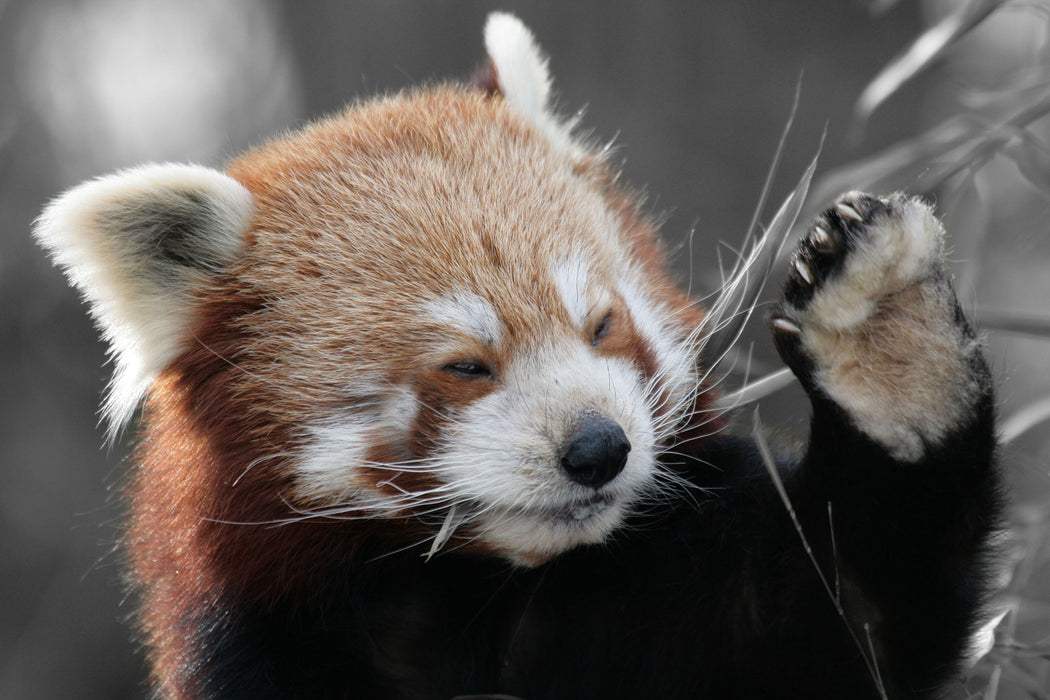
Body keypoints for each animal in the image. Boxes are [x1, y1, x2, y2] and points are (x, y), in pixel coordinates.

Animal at [34, 12, 999, 700]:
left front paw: (887, 339)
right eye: (467, 365)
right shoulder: (270, 640)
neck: (486, 595)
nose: (599, 449)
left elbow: (861, 614)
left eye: (602, 325)